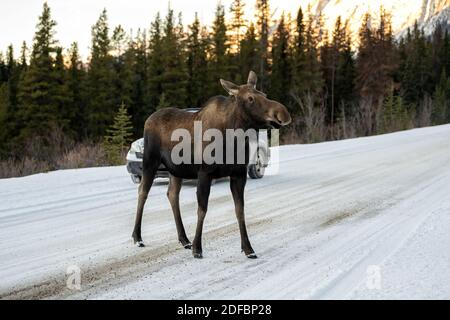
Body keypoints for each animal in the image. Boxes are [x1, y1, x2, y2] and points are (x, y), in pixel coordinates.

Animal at [132, 71, 290, 258]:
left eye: (264, 94)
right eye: (250, 98)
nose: (283, 113)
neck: (232, 138)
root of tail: (148, 119)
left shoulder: (238, 174)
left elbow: (240, 210)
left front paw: (248, 248)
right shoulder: (204, 173)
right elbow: (202, 209)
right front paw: (197, 248)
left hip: (176, 170)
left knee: (172, 194)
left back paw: (184, 239)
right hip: (150, 161)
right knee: (143, 192)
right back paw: (138, 237)